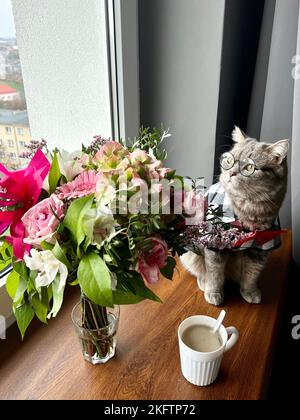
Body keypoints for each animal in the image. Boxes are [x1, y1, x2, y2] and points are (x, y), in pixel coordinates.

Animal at [179, 126, 290, 306]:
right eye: (229, 161)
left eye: (249, 167)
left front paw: (249, 292)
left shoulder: (262, 247)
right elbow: (215, 274)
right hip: (191, 250)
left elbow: (252, 274)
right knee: (201, 270)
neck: (249, 211)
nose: (231, 172)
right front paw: (214, 292)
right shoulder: (215, 243)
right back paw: (204, 282)